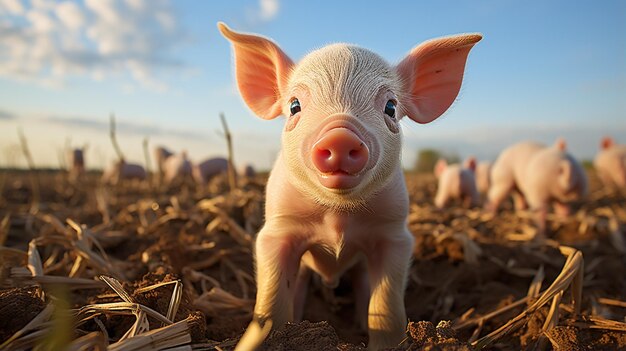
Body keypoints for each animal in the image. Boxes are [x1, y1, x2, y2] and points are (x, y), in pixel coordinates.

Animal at [217, 23, 480, 350]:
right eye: (294, 106)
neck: (337, 216)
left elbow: (386, 307)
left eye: (391, 107)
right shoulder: (276, 230)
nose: (340, 136)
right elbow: (271, 301)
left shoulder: (395, 234)